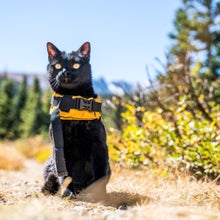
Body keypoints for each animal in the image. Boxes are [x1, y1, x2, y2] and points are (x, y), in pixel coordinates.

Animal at [41, 41, 111, 199]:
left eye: (76, 65)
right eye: (58, 66)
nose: (65, 72)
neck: (74, 102)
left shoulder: (99, 144)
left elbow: (100, 174)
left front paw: (100, 195)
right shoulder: (61, 146)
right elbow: (65, 174)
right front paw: (68, 192)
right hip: (49, 160)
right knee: (53, 175)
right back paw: (49, 185)